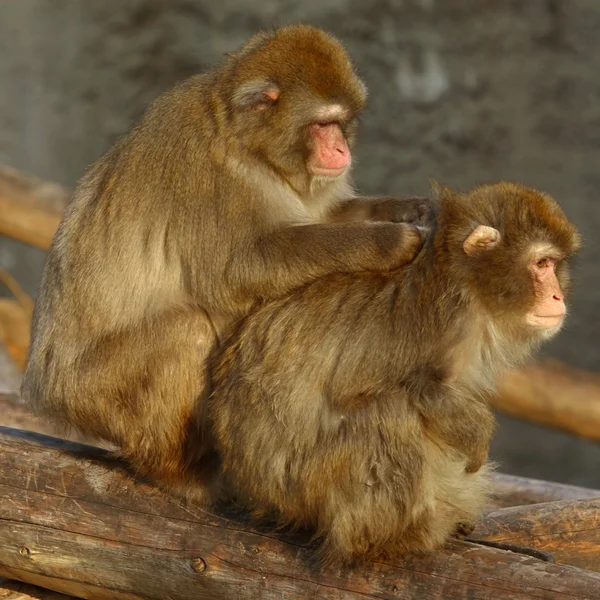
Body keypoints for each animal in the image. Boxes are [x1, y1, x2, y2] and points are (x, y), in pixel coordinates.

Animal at [21, 24, 432, 502]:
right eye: (322, 124)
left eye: (341, 122)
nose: (341, 150)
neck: (245, 143)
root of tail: (41, 389)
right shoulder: (208, 179)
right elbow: (237, 270)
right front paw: (389, 241)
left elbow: (320, 215)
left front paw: (411, 209)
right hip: (90, 393)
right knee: (188, 332)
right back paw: (176, 472)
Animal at [210, 182, 580, 564]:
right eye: (541, 263)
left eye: (554, 265)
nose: (557, 296)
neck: (464, 282)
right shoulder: (441, 319)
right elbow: (415, 389)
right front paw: (478, 437)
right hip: (302, 487)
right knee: (390, 411)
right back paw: (401, 536)